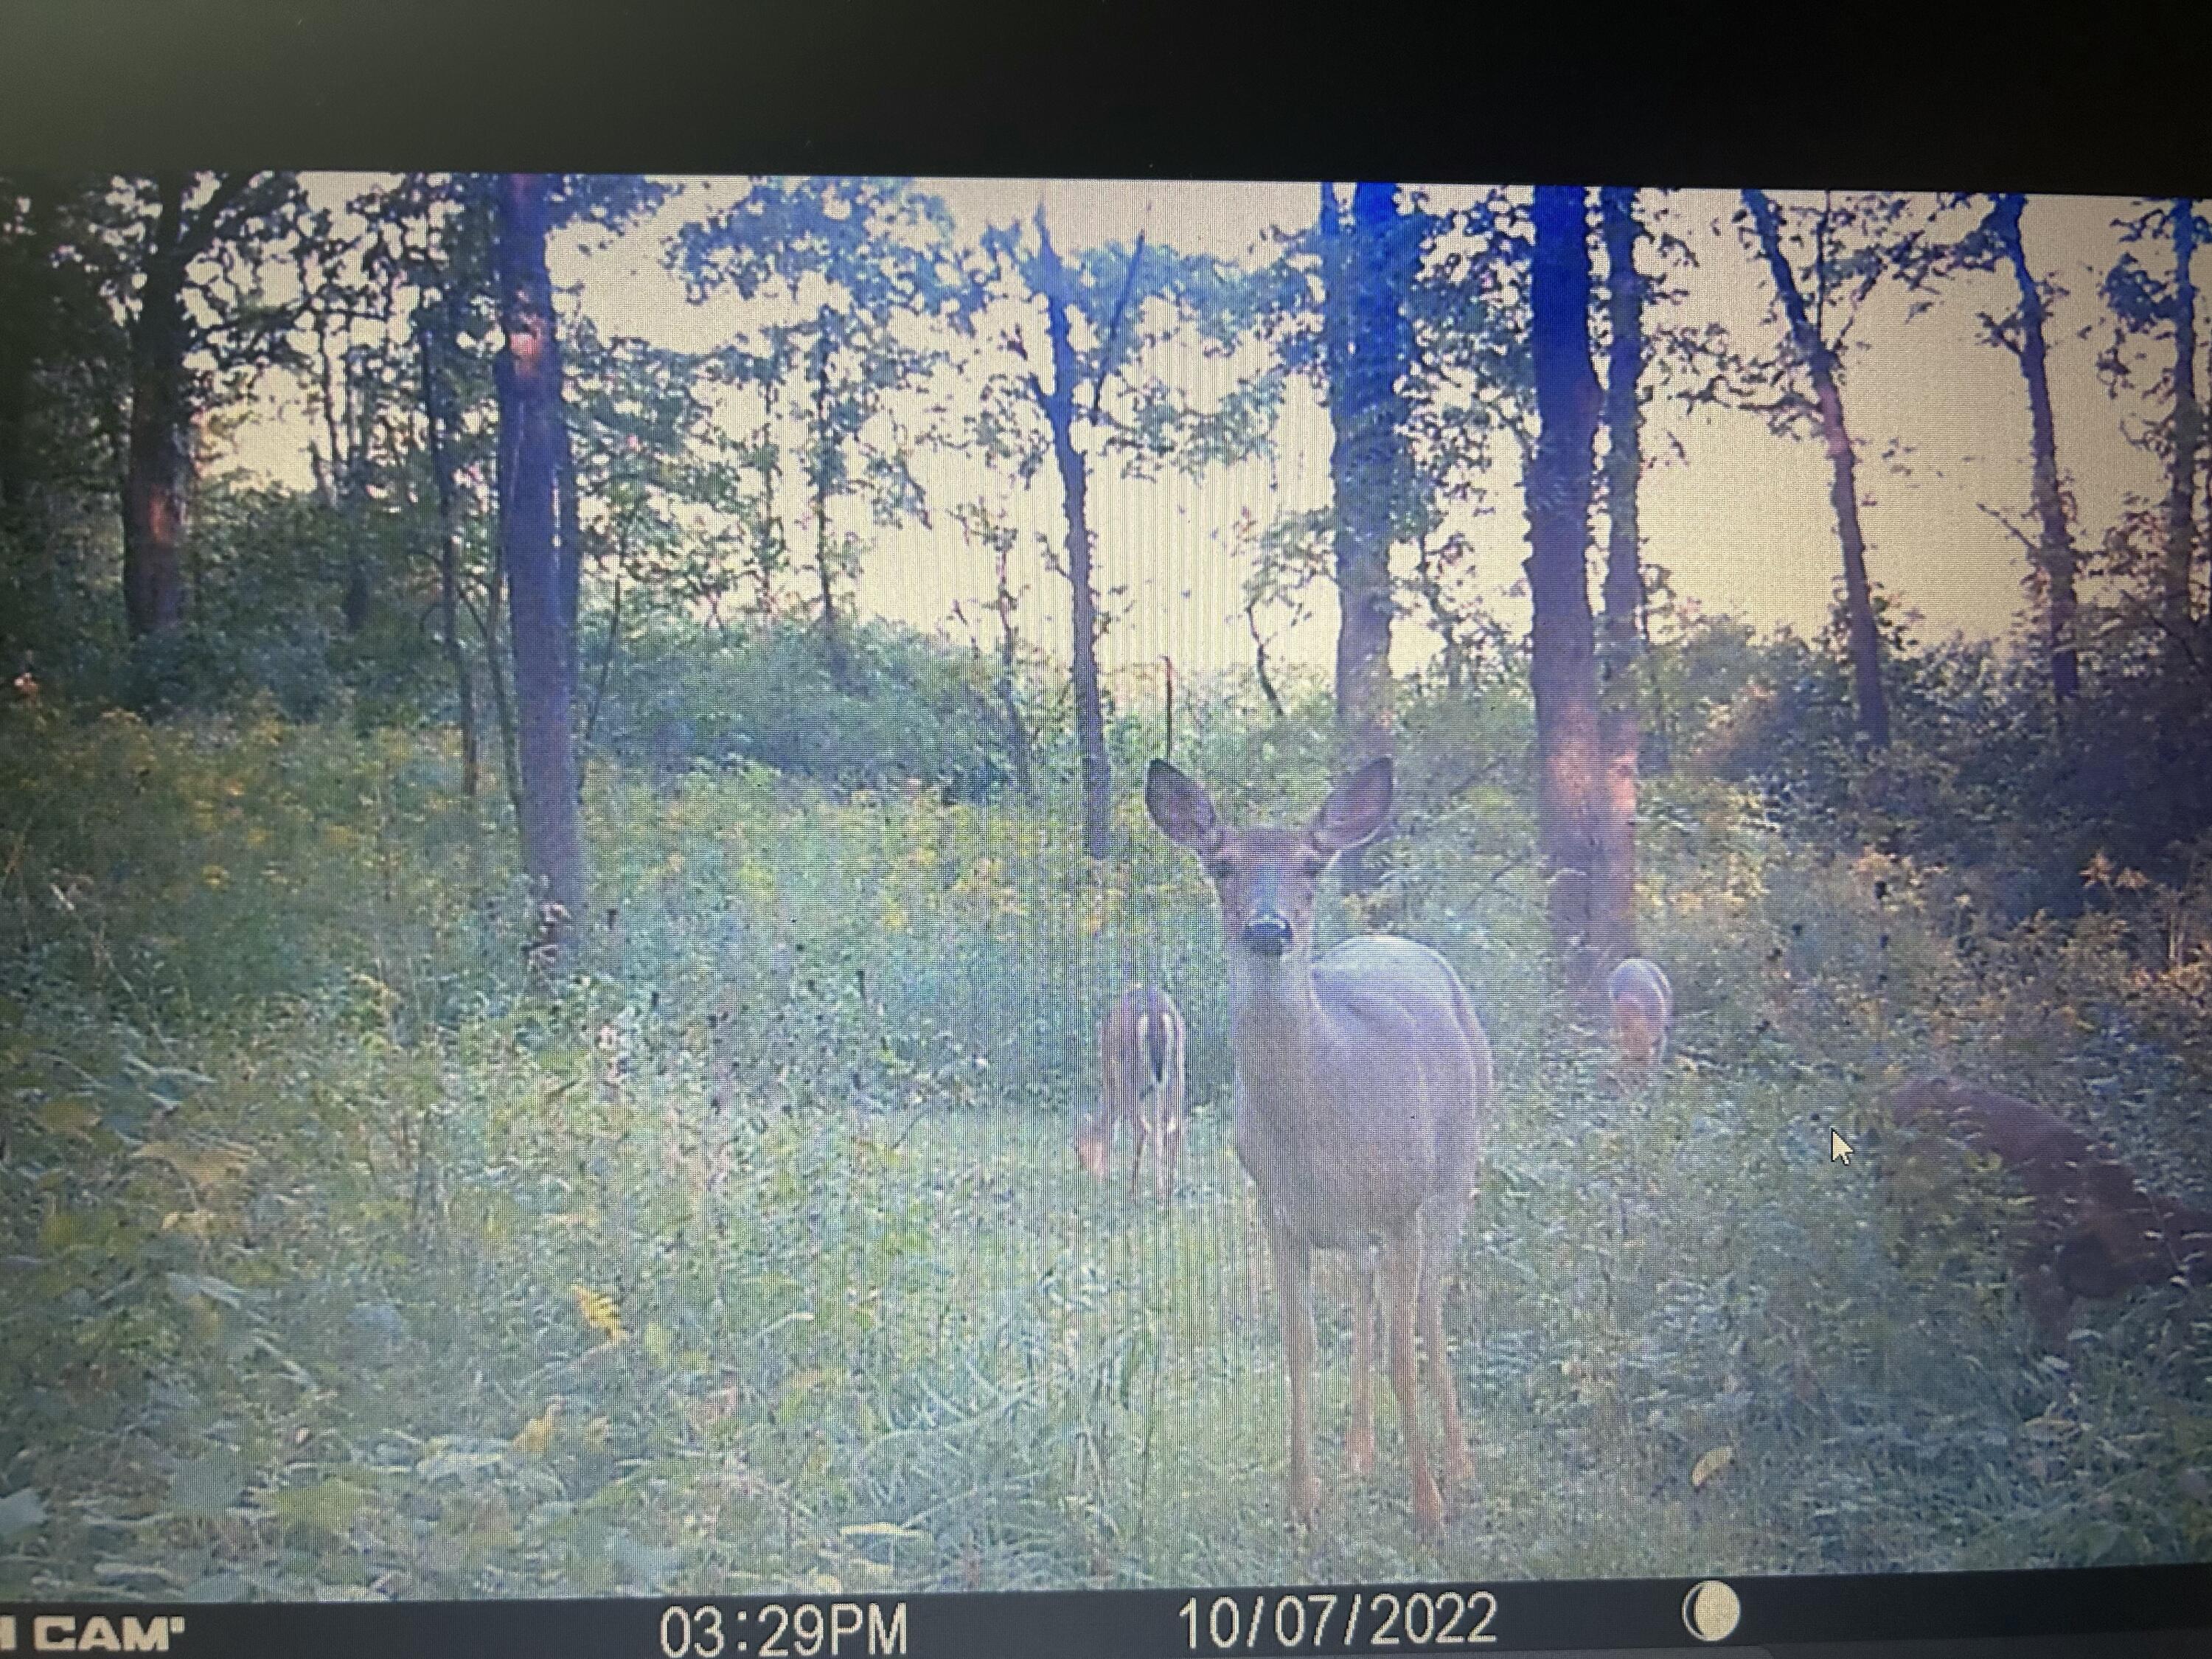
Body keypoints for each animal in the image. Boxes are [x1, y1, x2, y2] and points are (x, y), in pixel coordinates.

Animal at [1076, 984, 1188, 1203]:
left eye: (1077, 1147)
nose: (1084, 1171)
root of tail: (1156, 1014)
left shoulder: (1113, 1077)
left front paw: (1106, 1177)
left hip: (1131, 1069)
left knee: (1142, 1128)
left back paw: (1134, 1193)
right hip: (1178, 1064)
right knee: (1176, 1125)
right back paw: (1169, 1192)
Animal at [1146, 755, 1495, 1539]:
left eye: (1311, 865)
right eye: (1220, 864)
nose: (1268, 928)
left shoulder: (1401, 1203)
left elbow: (1403, 1352)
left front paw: (1428, 1509)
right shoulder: (1276, 1212)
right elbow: (1299, 1348)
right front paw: (1302, 1504)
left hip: (1454, 1176)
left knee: (1430, 1305)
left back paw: (1461, 1466)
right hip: (1356, 1228)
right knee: (1365, 1295)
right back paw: (1360, 1454)